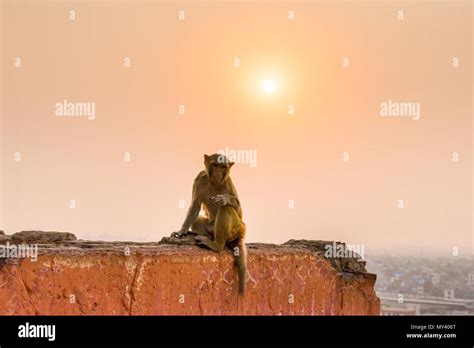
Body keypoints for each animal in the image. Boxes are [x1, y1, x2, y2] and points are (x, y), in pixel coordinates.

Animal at [173, 154, 248, 292]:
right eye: (215, 165)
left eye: (223, 167)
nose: (218, 174)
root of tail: (241, 231)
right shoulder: (199, 179)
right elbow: (195, 206)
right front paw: (182, 230)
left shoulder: (228, 182)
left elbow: (238, 208)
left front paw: (223, 198)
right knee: (198, 221)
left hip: (237, 227)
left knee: (226, 208)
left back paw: (216, 245)